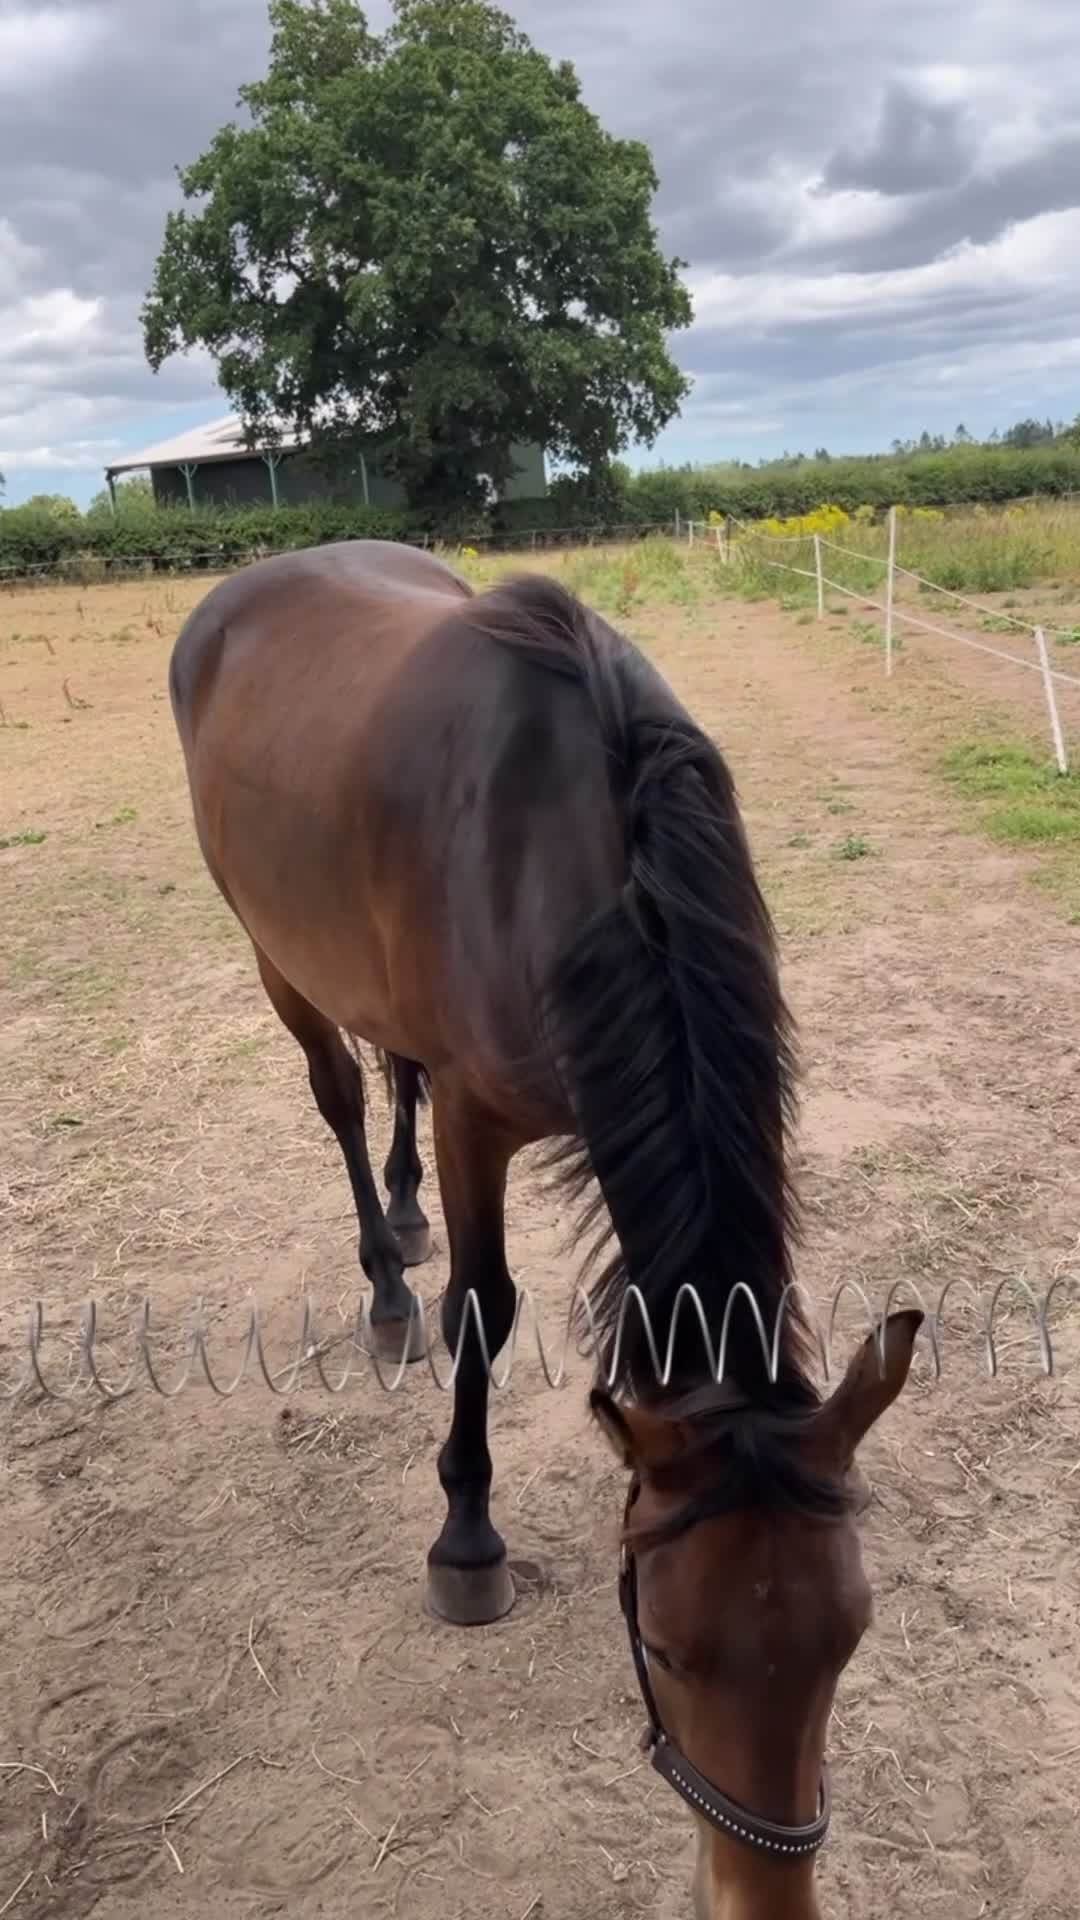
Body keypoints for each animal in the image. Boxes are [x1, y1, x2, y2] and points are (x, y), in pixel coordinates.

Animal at [169, 539, 920, 1919]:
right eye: (664, 1647)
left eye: (851, 1635)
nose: (763, 1894)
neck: (569, 844)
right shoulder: (479, 1120)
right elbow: (487, 1306)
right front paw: (466, 1533)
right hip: (278, 960)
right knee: (342, 1094)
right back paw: (386, 1283)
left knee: (391, 1083)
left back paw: (403, 1222)